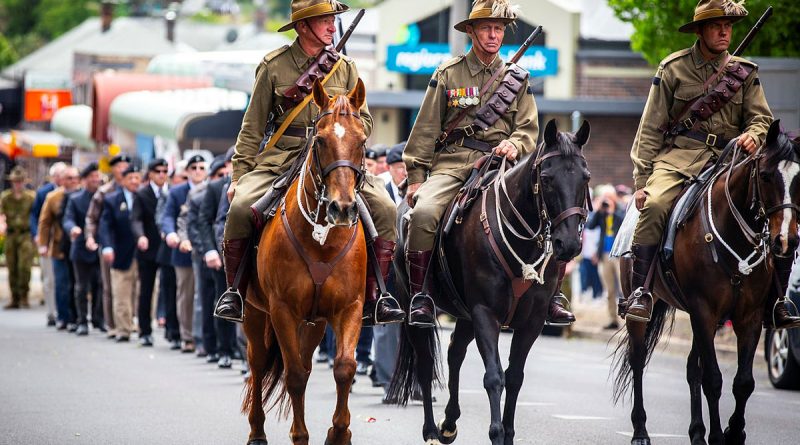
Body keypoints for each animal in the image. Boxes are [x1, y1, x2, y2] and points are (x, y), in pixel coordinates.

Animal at [242, 78, 370, 442]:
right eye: (321, 140)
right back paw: (257, 430)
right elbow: (294, 376)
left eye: (362, 141)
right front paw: (300, 435)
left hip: (315, 322)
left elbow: (344, 368)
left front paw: (339, 433)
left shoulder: (349, 307)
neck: (322, 240)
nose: (343, 209)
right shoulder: (282, 310)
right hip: (255, 312)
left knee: (307, 362)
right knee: (259, 364)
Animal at [388, 118, 592, 444]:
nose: (569, 244)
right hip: (415, 310)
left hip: (465, 314)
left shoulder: (532, 320)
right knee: (425, 364)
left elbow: (515, 376)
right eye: (547, 178)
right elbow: (494, 376)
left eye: (585, 177)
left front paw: (508, 432)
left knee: (455, 352)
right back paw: (431, 429)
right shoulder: (486, 313)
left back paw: (449, 423)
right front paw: (496, 432)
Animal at [616, 119, 800, 444]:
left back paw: (697, 432)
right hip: (643, 311)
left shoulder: (748, 317)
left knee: (692, 368)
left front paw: (733, 432)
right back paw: (640, 430)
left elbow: (742, 381)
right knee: (638, 360)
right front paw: (718, 434)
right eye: (765, 176)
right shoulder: (704, 310)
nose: (786, 241)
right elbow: (713, 379)